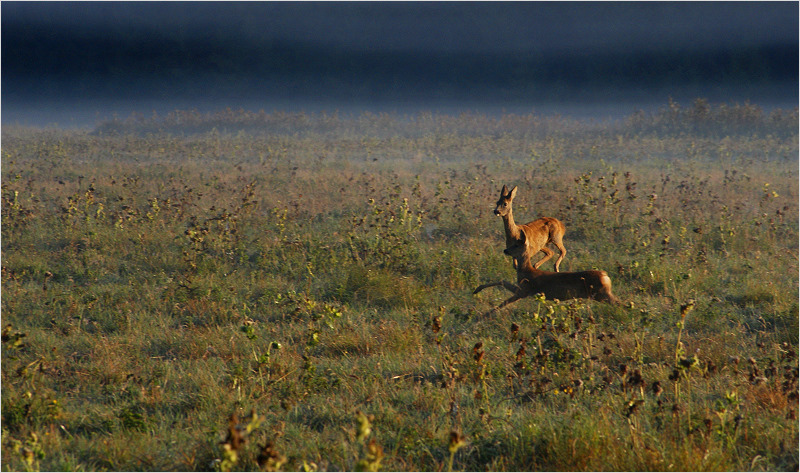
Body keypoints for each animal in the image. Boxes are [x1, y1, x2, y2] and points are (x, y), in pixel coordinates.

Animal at [472, 231, 620, 316]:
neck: (526, 271)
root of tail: (605, 275)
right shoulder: (523, 289)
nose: (505, 250)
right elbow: (502, 282)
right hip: (602, 294)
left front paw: (484, 314)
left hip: (602, 294)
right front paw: (477, 290)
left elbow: (504, 298)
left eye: (516, 245)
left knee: (620, 303)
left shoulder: (524, 290)